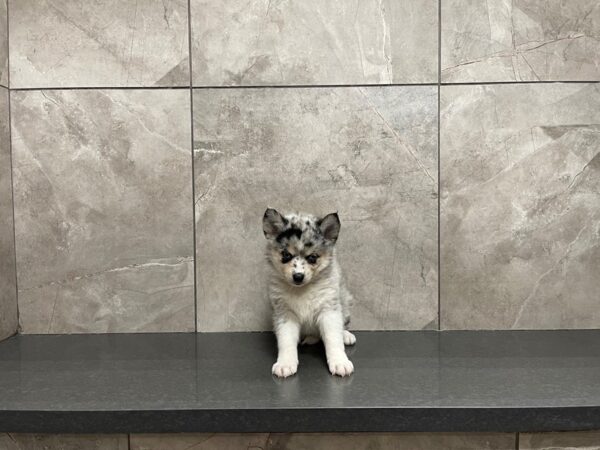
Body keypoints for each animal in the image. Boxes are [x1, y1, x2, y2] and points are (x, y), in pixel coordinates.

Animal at [264, 209, 356, 378]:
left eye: (312, 257)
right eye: (286, 255)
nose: (298, 276)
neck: (302, 289)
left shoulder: (329, 311)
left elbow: (333, 339)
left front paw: (340, 362)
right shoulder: (285, 314)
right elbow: (286, 341)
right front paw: (285, 364)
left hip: (345, 303)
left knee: (342, 326)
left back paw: (346, 335)